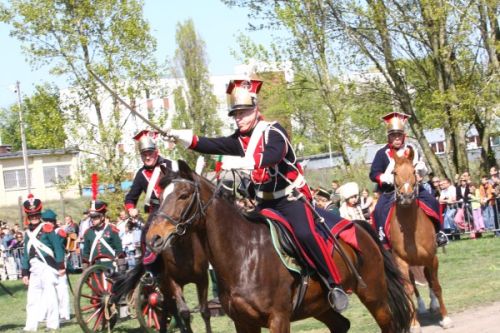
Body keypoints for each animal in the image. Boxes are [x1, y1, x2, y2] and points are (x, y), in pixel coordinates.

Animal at [146, 160, 412, 330]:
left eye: (183, 195)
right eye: (159, 197)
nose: (153, 238)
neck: (243, 255)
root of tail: (358, 225)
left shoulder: (278, 319)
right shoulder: (244, 323)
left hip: (374, 296)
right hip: (320, 307)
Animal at [390, 148, 454, 332]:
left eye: (413, 171)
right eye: (394, 172)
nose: (406, 197)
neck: (410, 228)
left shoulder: (431, 258)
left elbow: (437, 286)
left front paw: (446, 318)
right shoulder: (401, 261)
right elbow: (409, 290)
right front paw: (414, 324)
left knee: (430, 280)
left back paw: (433, 304)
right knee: (414, 284)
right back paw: (422, 306)